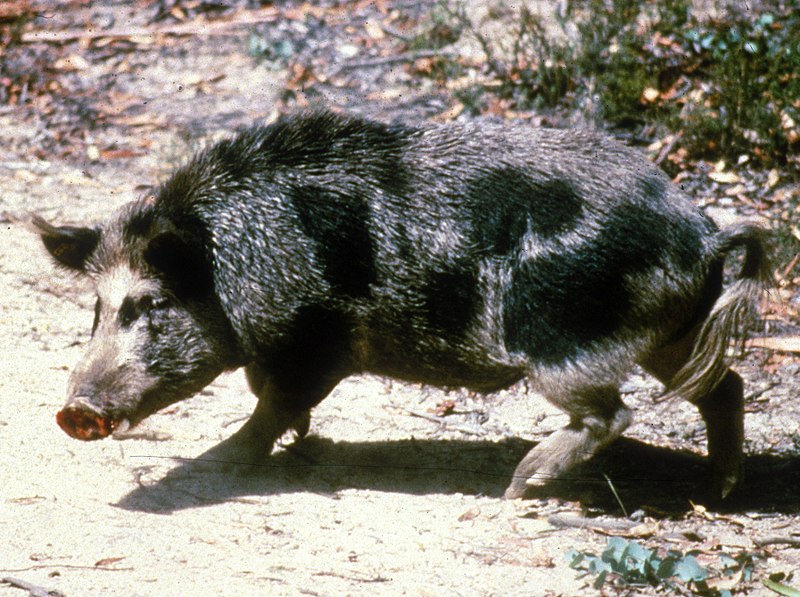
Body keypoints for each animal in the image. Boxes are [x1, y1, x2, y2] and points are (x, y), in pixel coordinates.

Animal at [34, 110, 770, 499]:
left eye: (151, 303)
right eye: (95, 308)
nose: (74, 410)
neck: (237, 261)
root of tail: (704, 232)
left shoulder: (314, 340)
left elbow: (273, 403)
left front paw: (226, 459)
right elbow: (268, 395)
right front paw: (299, 443)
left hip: (564, 338)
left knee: (614, 413)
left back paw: (518, 485)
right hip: (671, 331)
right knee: (723, 385)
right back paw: (721, 488)